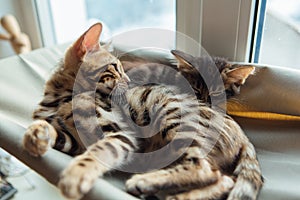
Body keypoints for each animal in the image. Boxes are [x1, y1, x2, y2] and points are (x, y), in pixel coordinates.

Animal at [22, 22, 262, 199]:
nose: (129, 81)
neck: (58, 99)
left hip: (173, 115)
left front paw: (75, 175)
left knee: (203, 167)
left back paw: (145, 181)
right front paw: (36, 135)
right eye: (114, 68)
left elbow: (98, 153)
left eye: (121, 67)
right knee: (223, 179)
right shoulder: (75, 141)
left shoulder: (120, 133)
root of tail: (244, 138)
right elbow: (54, 131)